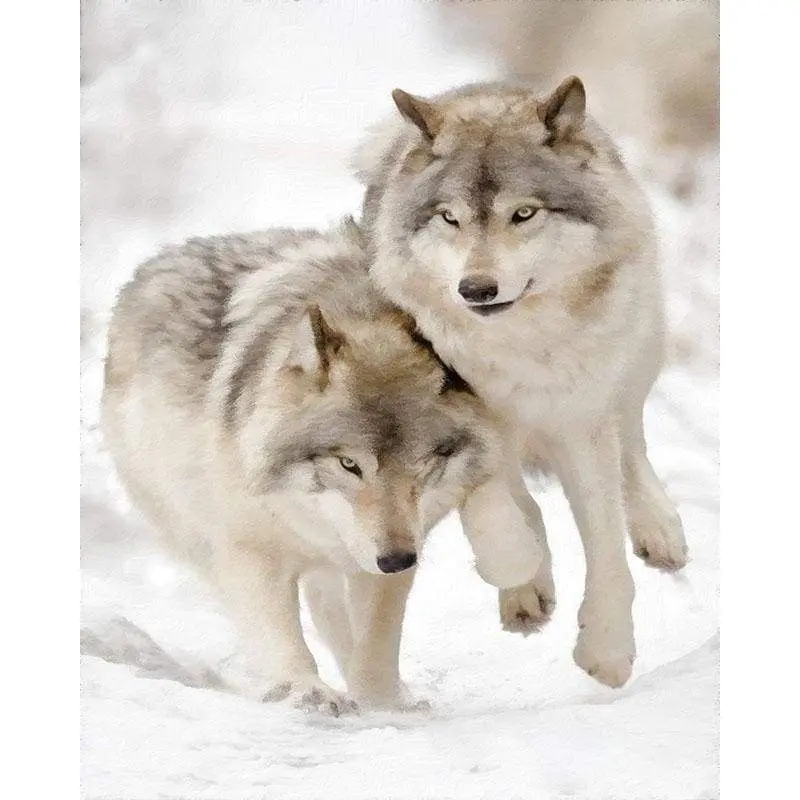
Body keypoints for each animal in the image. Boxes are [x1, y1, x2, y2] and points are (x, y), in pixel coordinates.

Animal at [101, 219, 542, 714]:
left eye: (424, 463)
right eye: (349, 463)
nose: (395, 559)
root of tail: (156, 262)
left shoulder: (394, 550)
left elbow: (377, 643)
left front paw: (383, 701)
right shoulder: (251, 551)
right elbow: (282, 636)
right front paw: (305, 691)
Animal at [353, 77, 689, 688]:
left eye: (524, 213)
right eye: (450, 218)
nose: (475, 289)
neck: (519, 349)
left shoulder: (582, 422)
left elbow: (607, 546)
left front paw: (607, 651)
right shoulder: (458, 415)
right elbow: (492, 509)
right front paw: (517, 570)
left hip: (637, 360)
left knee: (632, 446)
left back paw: (660, 532)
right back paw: (527, 589)